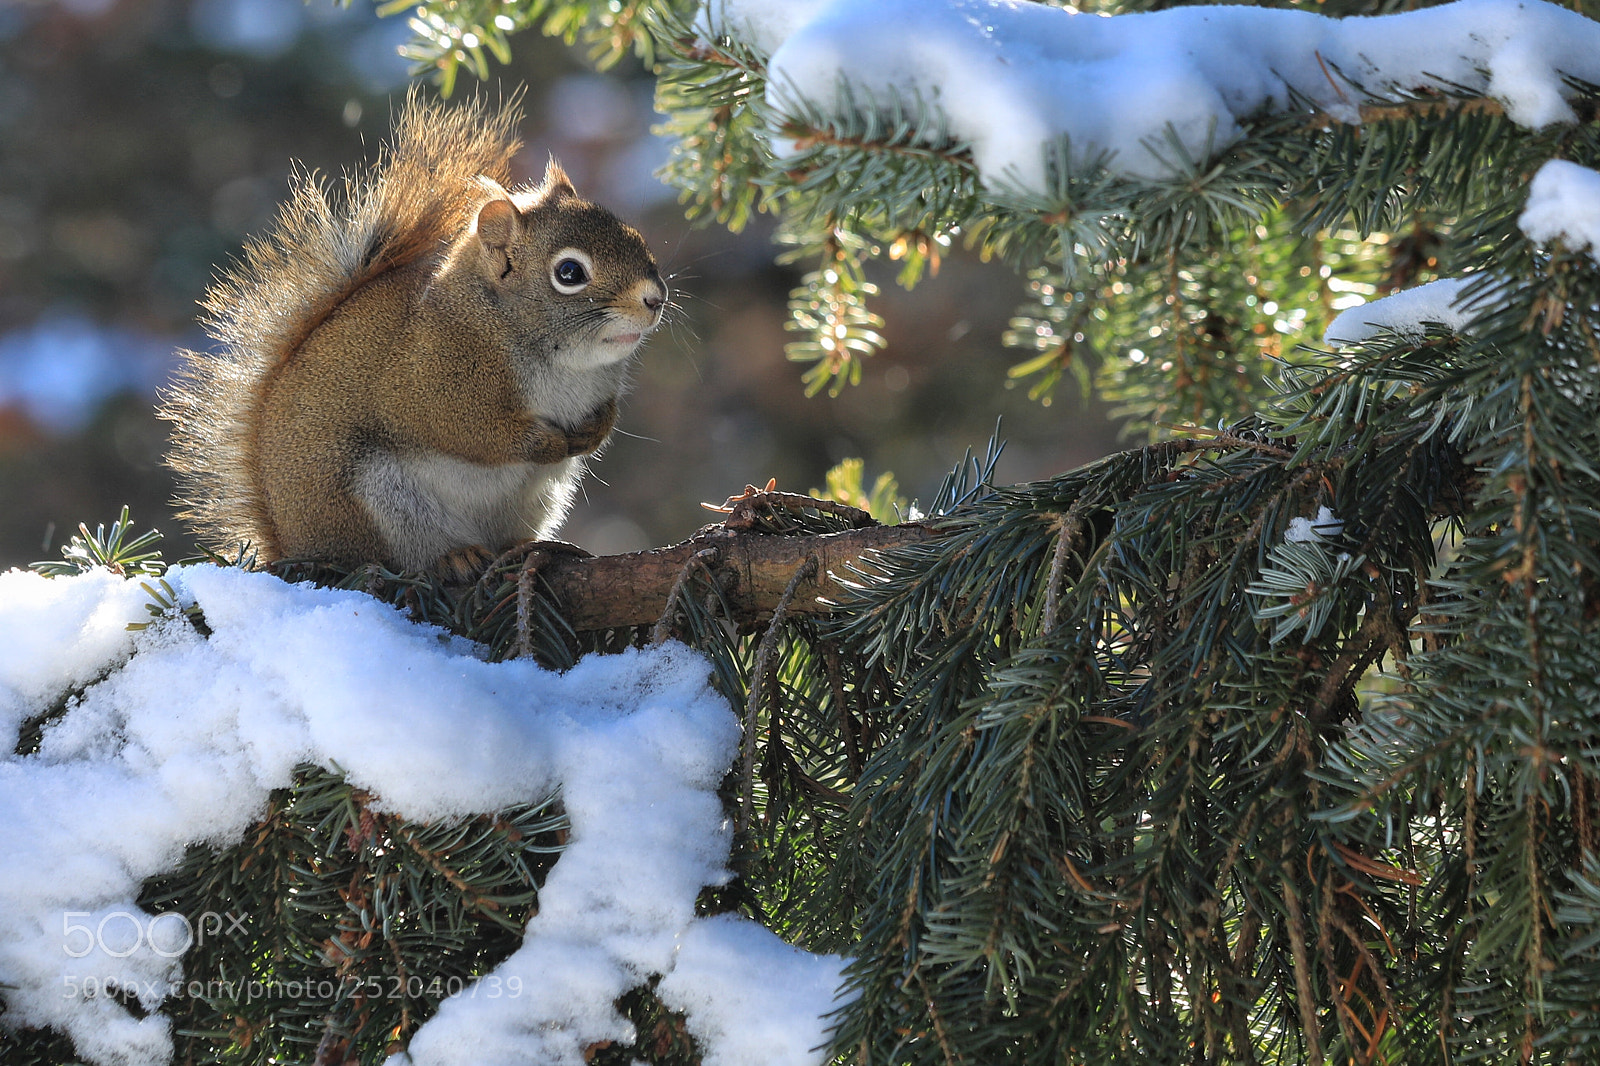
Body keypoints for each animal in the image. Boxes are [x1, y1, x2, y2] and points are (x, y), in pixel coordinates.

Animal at [160, 93, 666, 579]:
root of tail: (292, 544)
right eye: (569, 273)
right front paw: (548, 444)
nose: (656, 298)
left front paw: (595, 431)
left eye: (634, 235)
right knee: (401, 557)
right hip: (381, 501)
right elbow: (470, 431)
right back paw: (455, 558)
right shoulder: (428, 379)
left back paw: (521, 549)